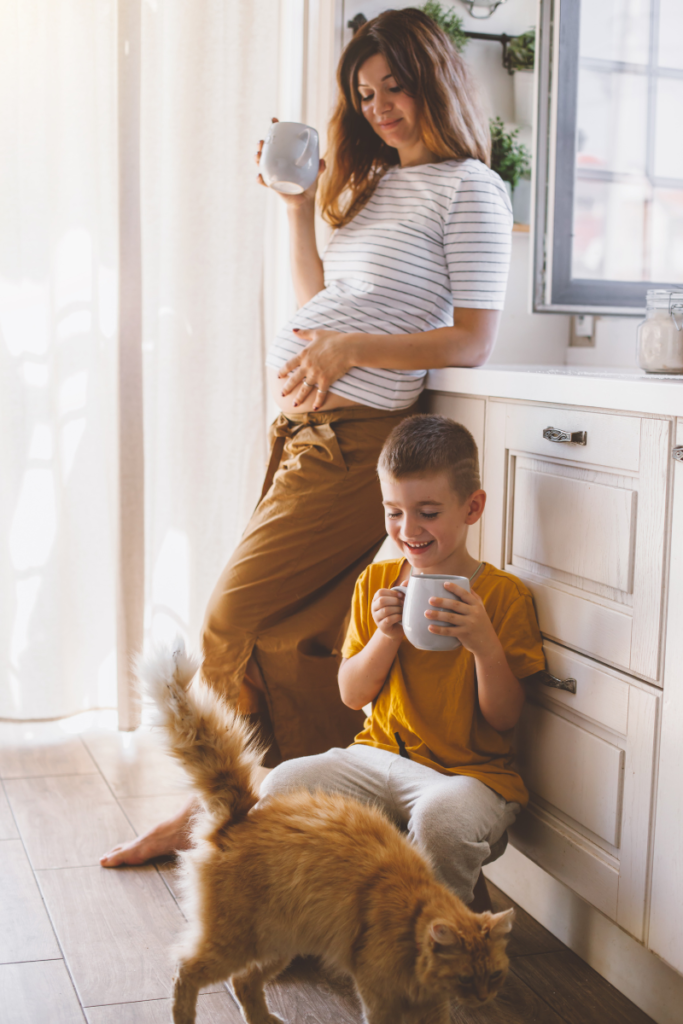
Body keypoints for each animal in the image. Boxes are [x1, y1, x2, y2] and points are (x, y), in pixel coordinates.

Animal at [145, 638, 518, 1024]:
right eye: (466, 978)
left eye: (494, 975)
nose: (484, 998)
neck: (412, 918)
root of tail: (240, 815)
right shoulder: (377, 993)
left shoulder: (433, 1006)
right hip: (235, 940)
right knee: (186, 971)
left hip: (279, 941)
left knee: (244, 981)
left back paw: (265, 1019)